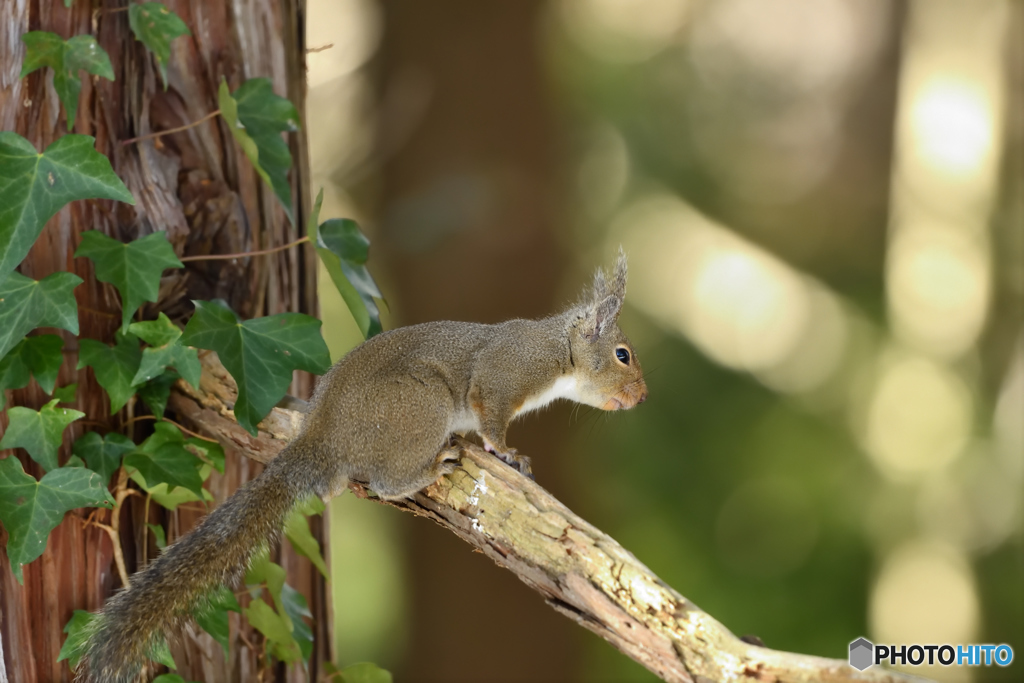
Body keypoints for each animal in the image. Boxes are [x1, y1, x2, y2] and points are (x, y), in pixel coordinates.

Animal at [79, 250, 643, 683]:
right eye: (623, 354)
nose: (642, 397)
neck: (557, 350)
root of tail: (325, 436)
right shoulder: (502, 378)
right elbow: (492, 421)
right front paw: (508, 453)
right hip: (420, 404)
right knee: (388, 482)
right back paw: (431, 466)